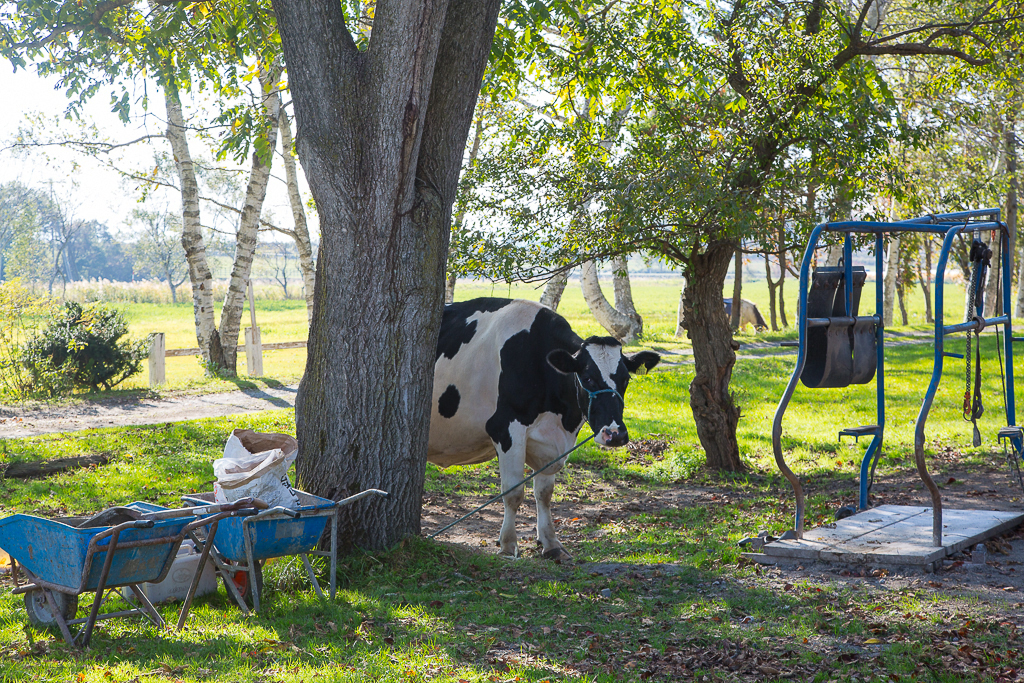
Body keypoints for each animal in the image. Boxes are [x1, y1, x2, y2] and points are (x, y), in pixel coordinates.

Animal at [428, 296, 659, 561]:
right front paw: (507, 545)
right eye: (588, 377)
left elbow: (545, 493)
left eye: (626, 379)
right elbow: (513, 492)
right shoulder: (506, 429)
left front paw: (551, 544)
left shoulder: (552, 443)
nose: (615, 434)